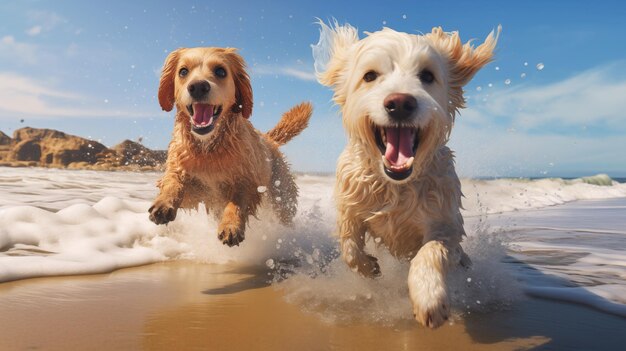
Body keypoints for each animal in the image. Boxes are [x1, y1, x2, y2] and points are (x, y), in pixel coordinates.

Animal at [149, 47, 310, 248]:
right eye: (183, 71)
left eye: (220, 71)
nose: (198, 87)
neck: (208, 150)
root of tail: (268, 139)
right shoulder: (192, 185)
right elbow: (173, 183)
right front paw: (163, 203)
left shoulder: (247, 181)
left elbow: (237, 202)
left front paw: (231, 225)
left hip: (282, 200)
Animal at [312, 22, 498, 328]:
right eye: (370, 76)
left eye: (427, 76)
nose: (399, 103)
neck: (396, 185)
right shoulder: (350, 205)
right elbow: (349, 247)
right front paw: (369, 268)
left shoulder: (445, 223)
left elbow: (431, 251)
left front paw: (429, 296)